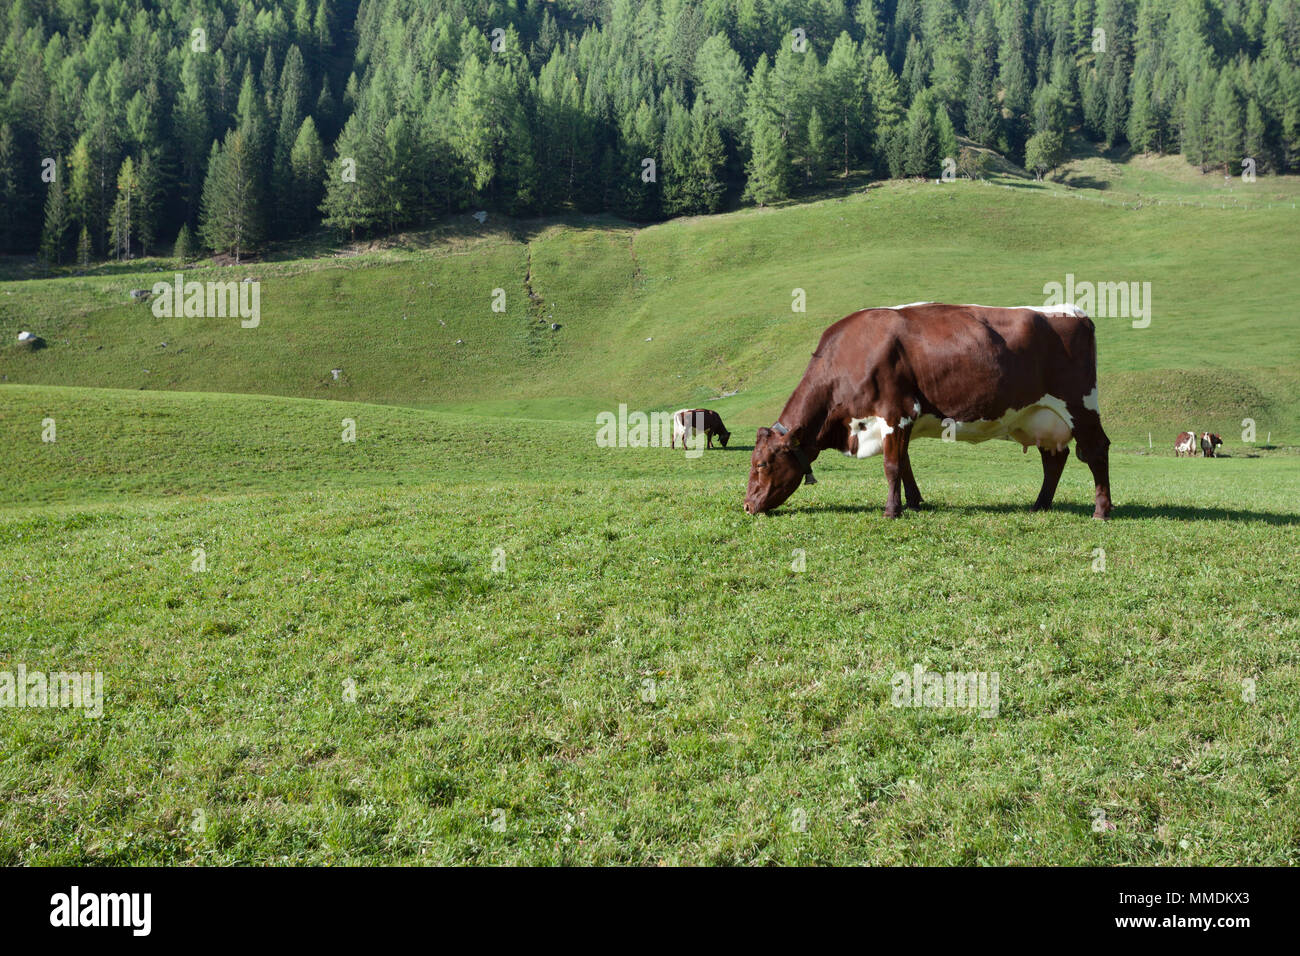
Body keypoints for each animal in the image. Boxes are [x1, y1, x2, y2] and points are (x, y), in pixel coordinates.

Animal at [744, 302, 1112, 519]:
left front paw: (892, 511)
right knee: (1054, 459)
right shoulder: (900, 421)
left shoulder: (896, 411)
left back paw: (1101, 510)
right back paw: (1040, 505)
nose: (747, 505)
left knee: (1096, 450)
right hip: (1041, 417)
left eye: (762, 464)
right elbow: (905, 463)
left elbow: (892, 465)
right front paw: (914, 501)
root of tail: (1070, 310)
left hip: (1080, 405)